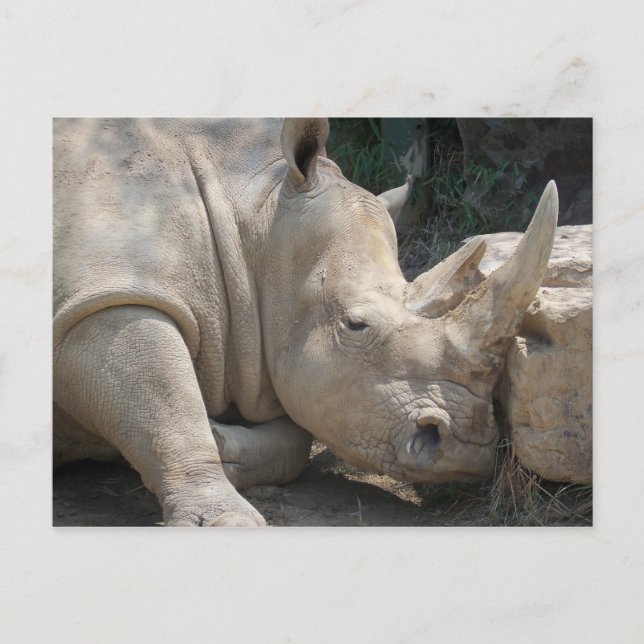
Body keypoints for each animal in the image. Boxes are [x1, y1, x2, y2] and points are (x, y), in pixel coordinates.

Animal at [53, 118, 558, 526]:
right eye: (356, 325)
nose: (464, 450)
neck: (252, 212)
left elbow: (293, 438)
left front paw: (219, 440)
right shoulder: (111, 296)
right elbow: (167, 405)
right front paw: (227, 521)